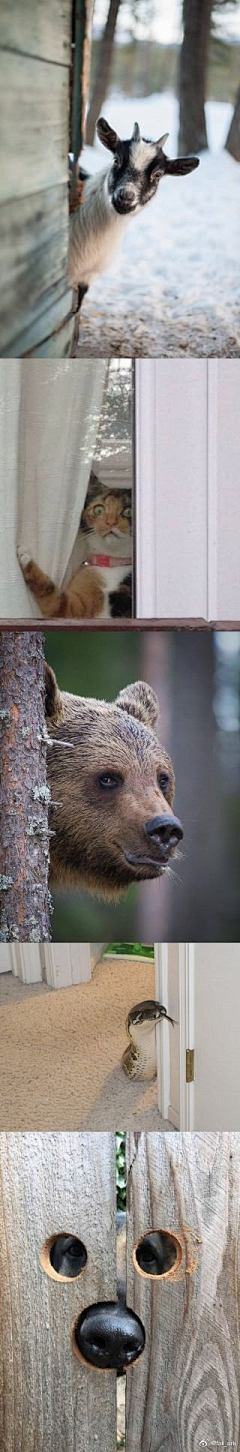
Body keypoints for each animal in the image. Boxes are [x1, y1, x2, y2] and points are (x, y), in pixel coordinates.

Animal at [18, 470, 132, 618]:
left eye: (128, 511)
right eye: (99, 509)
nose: (111, 523)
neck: (113, 563)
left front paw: (25, 556)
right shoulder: (73, 608)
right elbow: (54, 597)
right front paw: (24, 556)